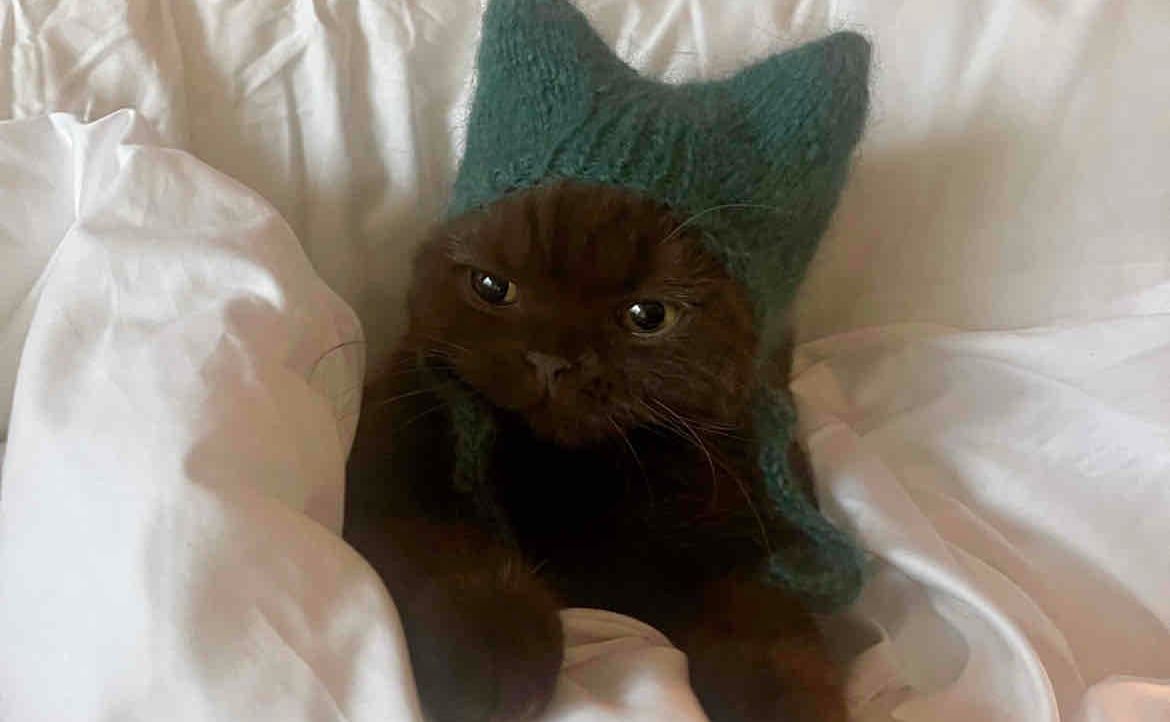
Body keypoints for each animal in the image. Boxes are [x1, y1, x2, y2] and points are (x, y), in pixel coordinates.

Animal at [344, 180, 848, 722]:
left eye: (648, 316)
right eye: (492, 286)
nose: (551, 360)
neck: (569, 470)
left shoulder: (750, 524)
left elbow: (768, 628)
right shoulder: (389, 467)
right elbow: (439, 546)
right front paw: (492, 650)